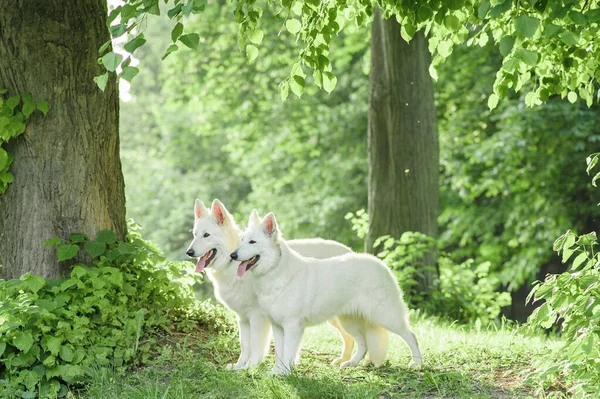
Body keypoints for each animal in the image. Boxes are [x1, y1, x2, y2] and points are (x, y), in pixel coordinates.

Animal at [185, 200, 386, 372]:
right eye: (195, 235)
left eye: (206, 235)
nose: (189, 252)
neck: (231, 264)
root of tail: (350, 251)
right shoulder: (242, 318)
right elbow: (245, 345)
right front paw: (239, 366)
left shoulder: (258, 317)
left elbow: (255, 345)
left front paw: (251, 367)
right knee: (351, 337)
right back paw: (345, 360)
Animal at [230, 212, 422, 376]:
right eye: (242, 240)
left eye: (252, 242)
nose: (232, 255)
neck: (275, 271)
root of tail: (382, 264)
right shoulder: (278, 327)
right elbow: (279, 353)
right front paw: (276, 372)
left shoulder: (292, 326)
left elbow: (288, 352)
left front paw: (285, 373)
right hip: (349, 321)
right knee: (363, 343)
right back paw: (351, 363)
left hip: (385, 316)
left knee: (411, 335)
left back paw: (417, 363)